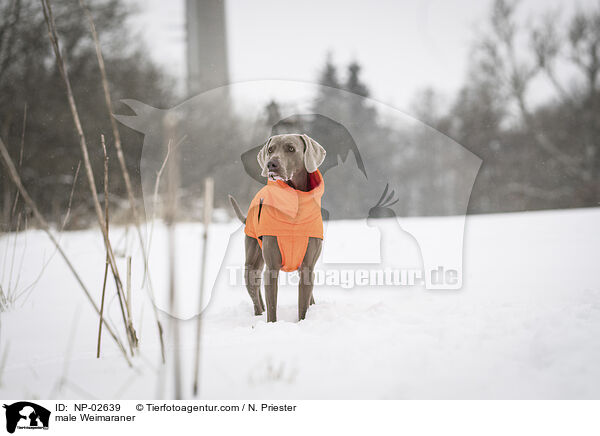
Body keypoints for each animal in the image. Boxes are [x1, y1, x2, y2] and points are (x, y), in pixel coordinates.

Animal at [230, 135, 326, 322]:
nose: (271, 164)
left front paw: (302, 321)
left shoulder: (307, 267)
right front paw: (272, 324)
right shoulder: (272, 267)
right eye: (270, 150)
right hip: (251, 261)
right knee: (255, 291)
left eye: (291, 149)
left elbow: (302, 305)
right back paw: (258, 314)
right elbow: (272, 307)